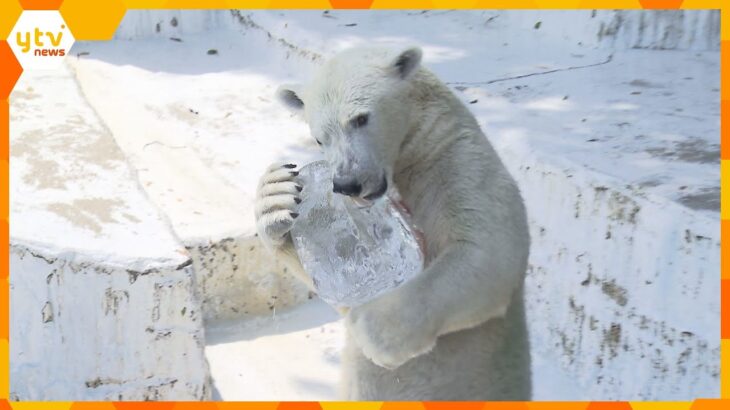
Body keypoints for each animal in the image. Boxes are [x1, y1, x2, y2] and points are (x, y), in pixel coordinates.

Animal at [253, 45, 528, 400]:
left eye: (360, 118)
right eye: (319, 138)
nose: (347, 183)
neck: (406, 158)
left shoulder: (454, 159)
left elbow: (488, 247)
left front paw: (372, 332)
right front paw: (276, 195)